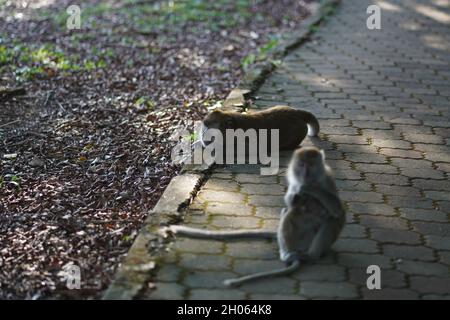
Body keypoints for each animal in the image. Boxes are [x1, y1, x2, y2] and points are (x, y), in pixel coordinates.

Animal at [162, 148, 344, 288]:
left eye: (311, 165)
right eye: (301, 165)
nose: (305, 174)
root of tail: (301, 247)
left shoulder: (327, 178)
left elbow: (336, 208)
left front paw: (308, 188)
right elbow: (290, 203)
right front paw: (298, 192)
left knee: (332, 220)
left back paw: (311, 256)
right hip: (298, 239)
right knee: (290, 213)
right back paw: (287, 254)